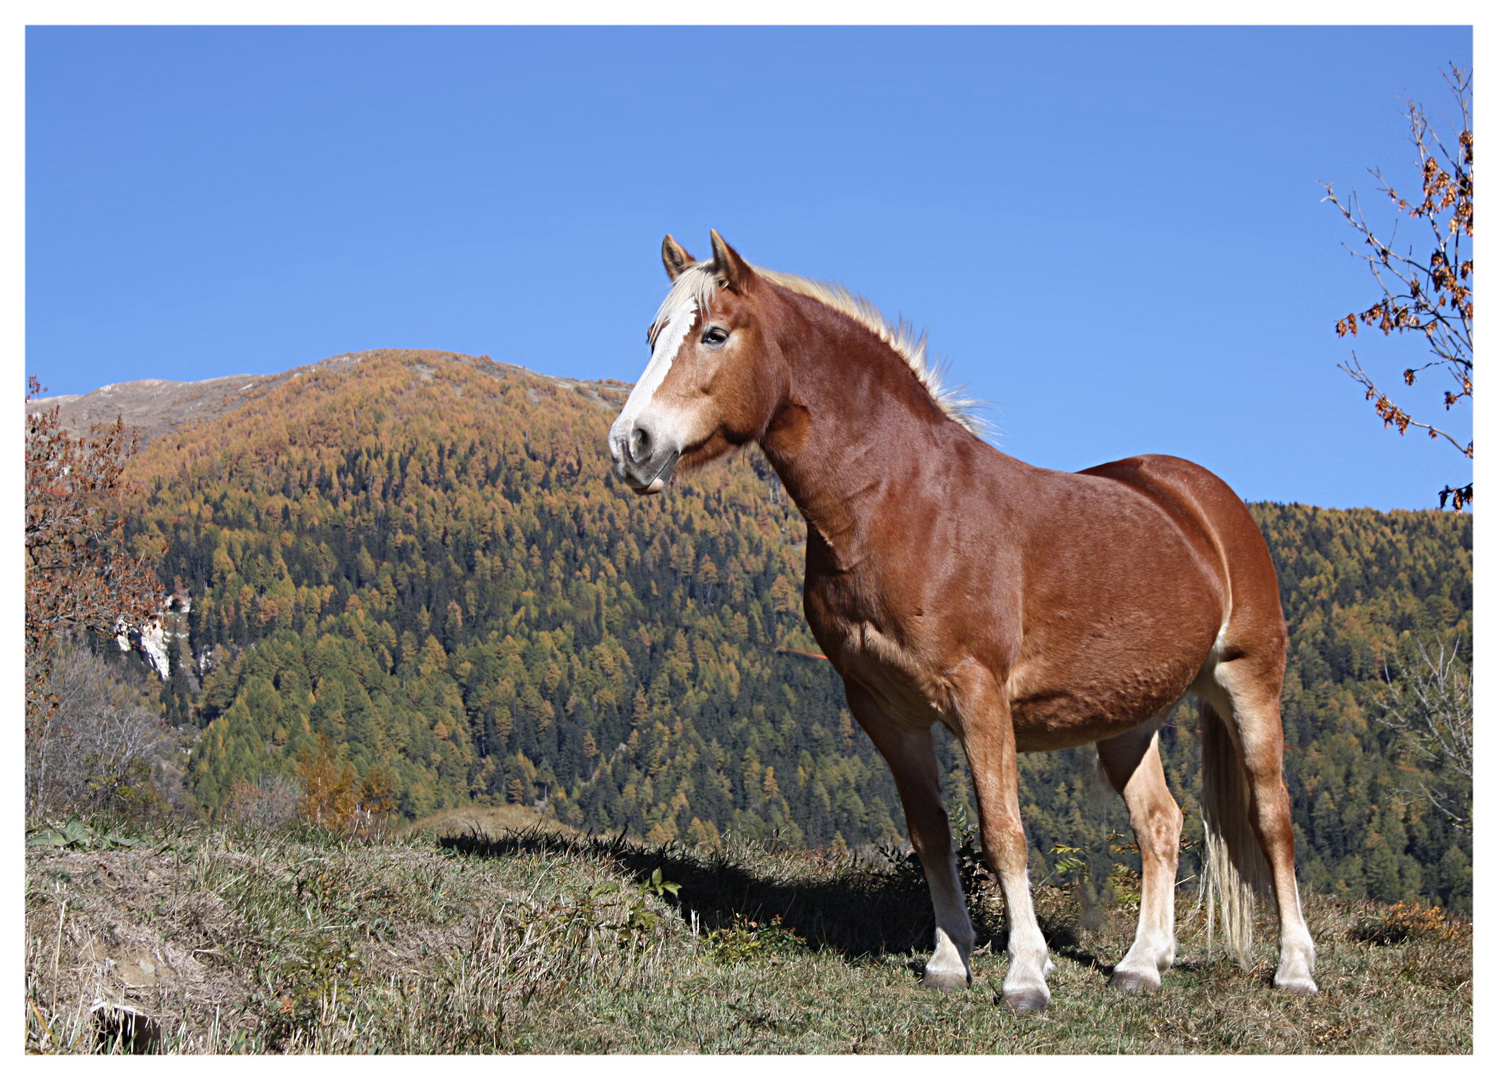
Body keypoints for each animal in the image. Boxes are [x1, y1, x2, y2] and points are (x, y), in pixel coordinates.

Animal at [602, 229, 1318, 1012]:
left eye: (715, 334)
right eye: (651, 336)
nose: (632, 444)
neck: (901, 503)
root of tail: (1202, 499)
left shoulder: (979, 697)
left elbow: (1003, 832)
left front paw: (1026, 975)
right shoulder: (886, 710)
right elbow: (931, 834)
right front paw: (950, 960)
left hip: (1247, 684)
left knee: (1272, 818)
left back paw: (1295, 967)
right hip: (1129, 720)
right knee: (1160, 824)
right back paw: (1141, 963)